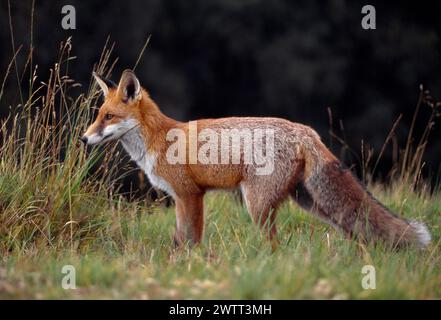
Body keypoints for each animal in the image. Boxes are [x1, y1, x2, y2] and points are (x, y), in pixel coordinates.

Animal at [80, 70, 430, 249]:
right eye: (97, 116)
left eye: (108, 117)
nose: (83, 138)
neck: (161, 138)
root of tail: (306, 131)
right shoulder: (181, 197)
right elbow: (179, 240)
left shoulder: (190, 194)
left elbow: (191, 240)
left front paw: (191, 265)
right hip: (311, 203)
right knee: (354, 230)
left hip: (258, 205)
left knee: (275, 245)